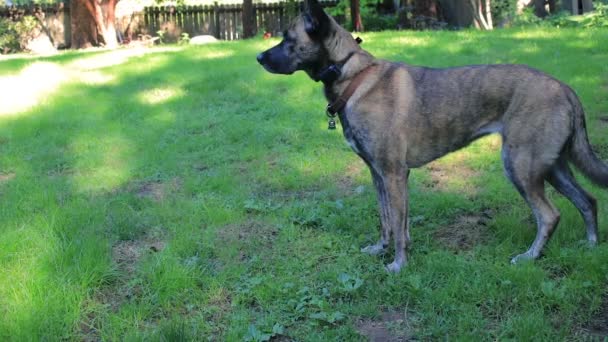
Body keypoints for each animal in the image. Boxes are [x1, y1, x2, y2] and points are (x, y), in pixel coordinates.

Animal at [256, 0, 608, 272]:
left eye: (288, 38)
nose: (258, 58)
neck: (354, 77)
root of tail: (565, 88)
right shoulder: (379, 175)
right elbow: (388, 220)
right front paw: (381, 249)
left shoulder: (394, 174)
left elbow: (398, 226)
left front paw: (398, 265)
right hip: (552, 167)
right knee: (587, 201)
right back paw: (590, 245)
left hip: (521, 166)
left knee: (550, 215)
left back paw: (530, 257)